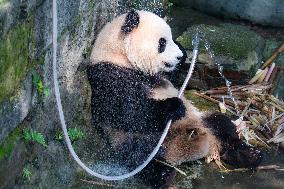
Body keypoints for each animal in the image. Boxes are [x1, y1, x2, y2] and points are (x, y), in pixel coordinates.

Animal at [86, 9, 262, 188]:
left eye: (170, 39)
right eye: (162, 43)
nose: (177, 56)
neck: (120, 56)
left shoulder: (162, 75)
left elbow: (174, 77)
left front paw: (183, 51)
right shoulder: (108, 75)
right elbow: (126, 113)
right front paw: (173, 107)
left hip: (202, 119)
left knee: (222, 124)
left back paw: (249, 154)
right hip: (136, 140)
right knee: (139, 157)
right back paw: (163, 174)